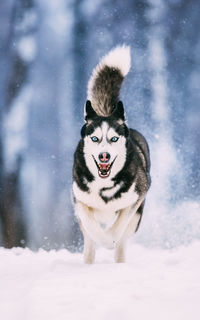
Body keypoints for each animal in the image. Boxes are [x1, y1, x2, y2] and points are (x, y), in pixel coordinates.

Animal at [72, 45, 151, 264]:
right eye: (95, 139)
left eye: (114, 139)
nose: (104, 156)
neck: (104, 185)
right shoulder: (80, 199)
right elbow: (91, 225)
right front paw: (102, 239)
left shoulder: (137, 195)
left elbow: (119, 227)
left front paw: (109, 240)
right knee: (89, 242)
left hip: (137, 216)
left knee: (123, 240)